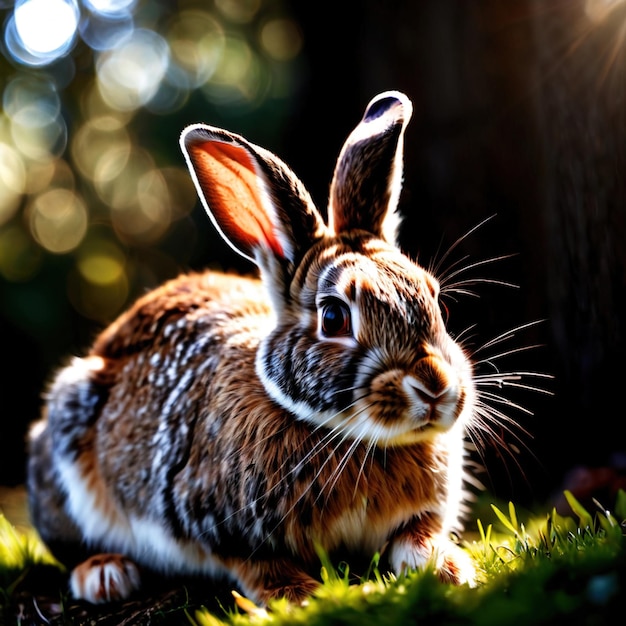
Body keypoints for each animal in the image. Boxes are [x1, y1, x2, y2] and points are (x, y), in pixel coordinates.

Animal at [24, 90, 476, 604]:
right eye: (334, 317)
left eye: (436, 300)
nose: (435, 386)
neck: (353, 438)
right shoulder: (213, 522)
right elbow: (258, 566)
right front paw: (303, 596)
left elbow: (417, 535)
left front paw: (450, 569)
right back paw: (105, 575)